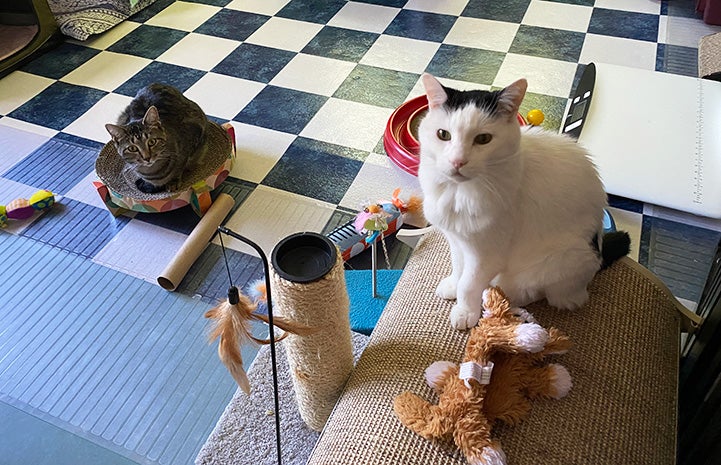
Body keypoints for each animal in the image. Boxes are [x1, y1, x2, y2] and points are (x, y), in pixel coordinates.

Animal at [420, 73, 628, 330]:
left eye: (483, 139)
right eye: (443, 135)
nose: (458, 161)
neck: (458, 192)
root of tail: (598, 249)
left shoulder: (486, 255)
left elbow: (468, 283)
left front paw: (465, 311)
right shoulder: (457, 239)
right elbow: (458, 266)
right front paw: (452, 286)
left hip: (557, 262)